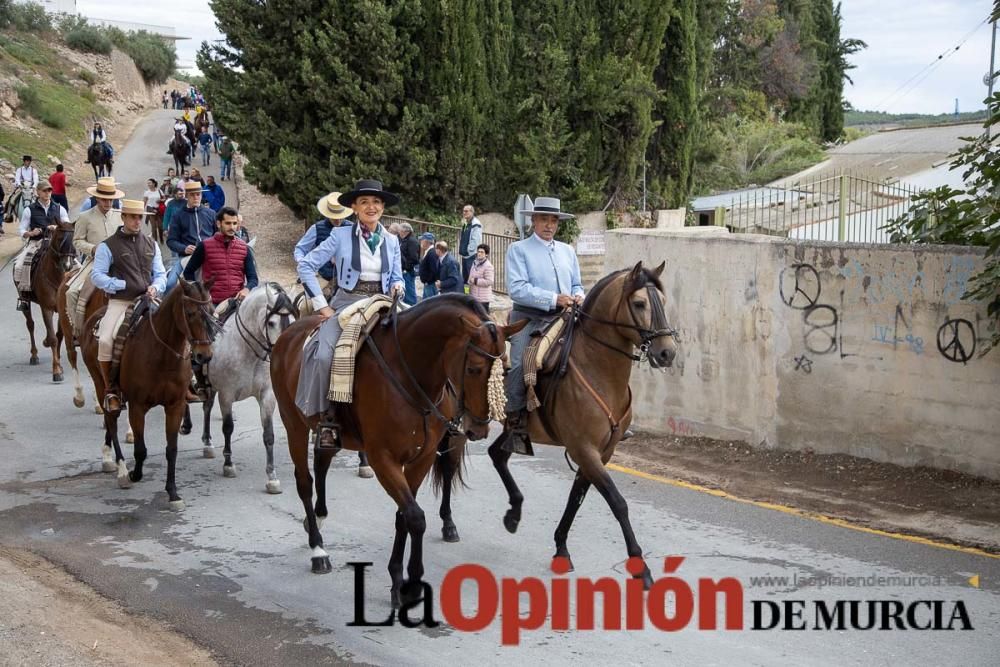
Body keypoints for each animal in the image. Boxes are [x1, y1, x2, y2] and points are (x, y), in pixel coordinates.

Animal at [14, 222, 76, 380]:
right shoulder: (46, 308)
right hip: (26, 303)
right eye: (60, 238)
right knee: (30, 325)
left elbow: (59, 335)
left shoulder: (62, 309)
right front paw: (56, 371)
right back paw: (34, 356)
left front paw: (58, 363)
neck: (57, 277)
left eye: (73, 238)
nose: (67, 265)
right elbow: (53, 338)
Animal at [79, 278, 217, 506]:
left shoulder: (175, 406)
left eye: (212, 311)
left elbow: (171, 450)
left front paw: (173, 492)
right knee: (111, 421)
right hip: (100, 383)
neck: (162, 355)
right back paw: (120, 469)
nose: (204, 355)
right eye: (190, 313)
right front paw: (134, 474)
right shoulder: (138, 407)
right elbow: (141, 450)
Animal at [199, 284, 296, 494]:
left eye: (292, 322)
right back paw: (206, 442)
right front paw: (228, 464)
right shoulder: (226, 395)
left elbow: (268, 435)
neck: (248, 350)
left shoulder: (267, 395)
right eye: (271, 323)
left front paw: (272, 476)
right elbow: (228, 428)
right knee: (206, 407)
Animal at [270, 294, 528, 608]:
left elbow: (404, 515)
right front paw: (410, 584)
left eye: (506, 367)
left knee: (321, 463)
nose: (478, 429)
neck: (411, 375)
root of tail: (289, 333)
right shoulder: (383, 459)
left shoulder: (422, 457)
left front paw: (398, 578)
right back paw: (318, 549)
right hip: (293, 424)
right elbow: (415, 517)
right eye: (473, 369)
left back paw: (316, 519)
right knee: (305, 482)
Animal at [434, 264, 676, 588]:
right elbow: (617, 502)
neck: (596, 366)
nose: (667, 352)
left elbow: (576, 497)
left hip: (509, 429)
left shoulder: (601, 452)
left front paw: (561, 547)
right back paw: (448, 523)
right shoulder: (584, 448)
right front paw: (641, 567)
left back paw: (514, 513)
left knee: (497, 455)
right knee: (449, 465)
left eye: (662, 300)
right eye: (639, 303)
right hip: (461, 423)